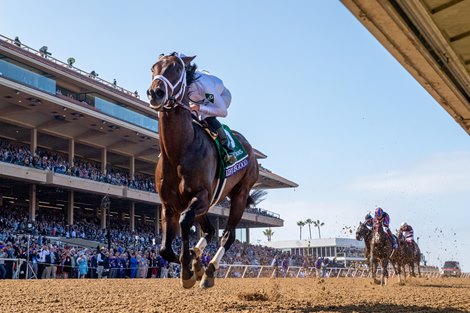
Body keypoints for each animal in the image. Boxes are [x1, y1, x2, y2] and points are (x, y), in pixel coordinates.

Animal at [147, 53, 258, 288]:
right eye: (153, 68)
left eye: (177, 68)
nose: (156, 92)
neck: (179, 151)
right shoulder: (168, 205)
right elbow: (164, 249)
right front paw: (191, 264)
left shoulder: (202, 196)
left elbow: (184, 222)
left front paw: (189, 268)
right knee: (210, 230)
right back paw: (199, 263)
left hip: (240, 194)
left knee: (227, 235)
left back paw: (210, 271)